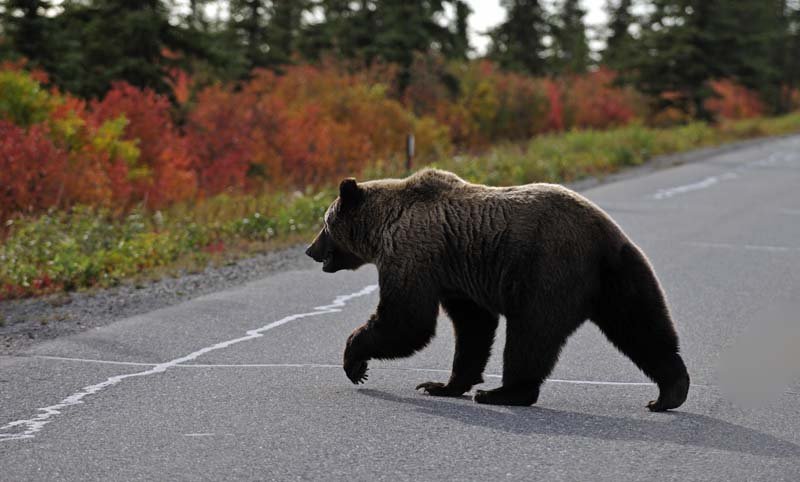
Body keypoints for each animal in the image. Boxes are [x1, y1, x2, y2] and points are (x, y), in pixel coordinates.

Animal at [304, 169, 692, 410]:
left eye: (324, 223)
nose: (310, 250)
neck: (384, 226)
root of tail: (603, 236)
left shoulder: (413, 255)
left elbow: (407, 320)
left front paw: (356, 362)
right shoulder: (455, 277)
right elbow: (473, 327)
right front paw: (442, 385)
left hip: (547, 272)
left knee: (530, 335)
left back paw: (503, 392)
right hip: (621, 275)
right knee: (641, 326)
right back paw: (669, 392)